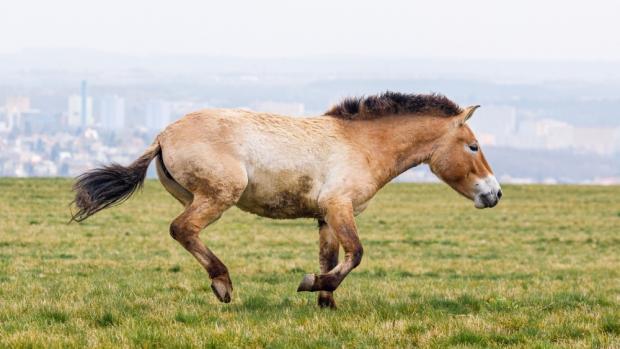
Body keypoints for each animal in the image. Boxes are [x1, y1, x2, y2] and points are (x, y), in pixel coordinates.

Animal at [72, 91, 502, 306]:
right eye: (474, 146)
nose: (494, 193)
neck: (361, 145)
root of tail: (163, 136)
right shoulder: (340, 207)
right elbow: (356, 254)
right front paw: (310, 284)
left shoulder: (326, 217)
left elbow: (332, 258)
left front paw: (326, 304)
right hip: (217, 197)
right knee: (183, 229)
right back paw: (223, 285)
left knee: (185, 231)